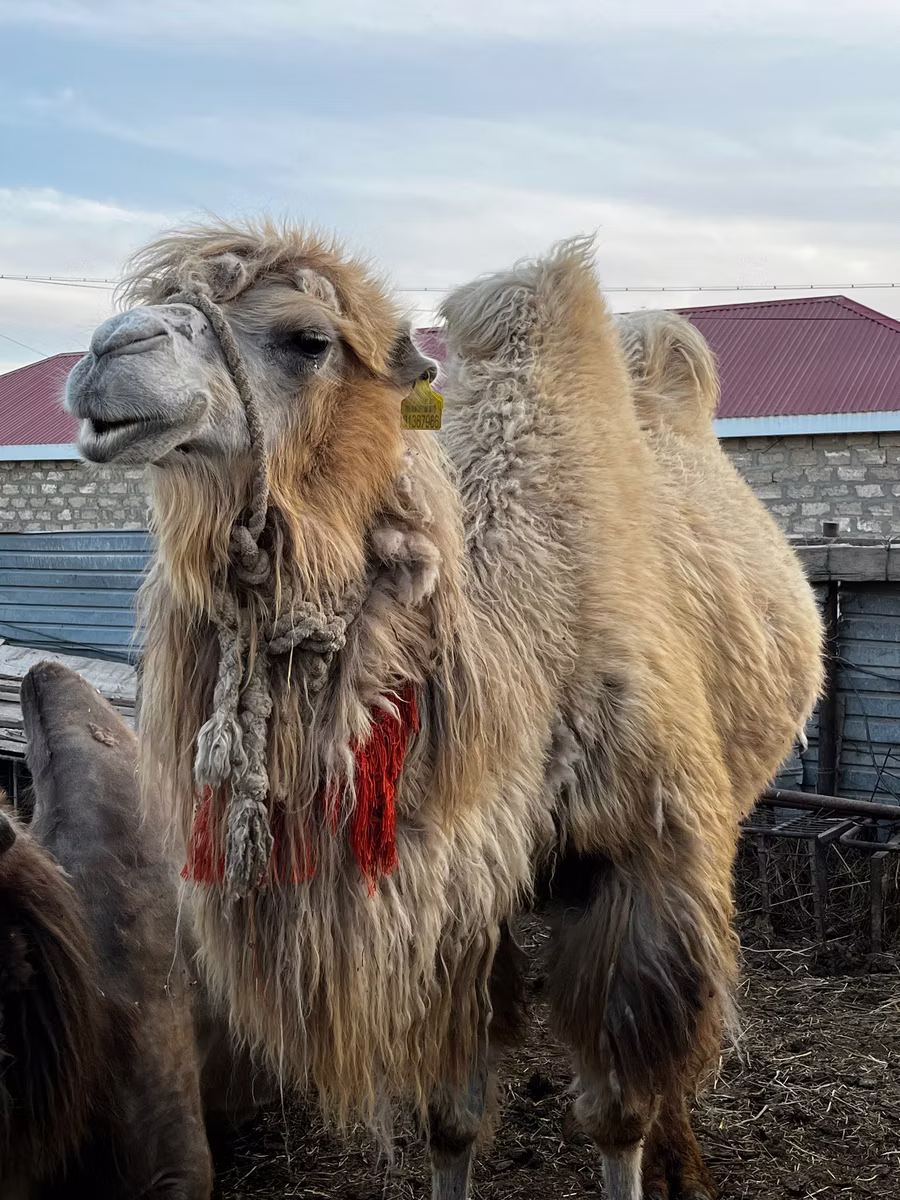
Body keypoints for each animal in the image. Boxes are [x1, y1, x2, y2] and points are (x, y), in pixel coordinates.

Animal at [66, 223, 822, 1200]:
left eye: (310, 339)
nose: (105, 356)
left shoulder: (639, 857)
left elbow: (617, 1110)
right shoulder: (458, 903)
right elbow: (451, 1118)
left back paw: (683, 1159)